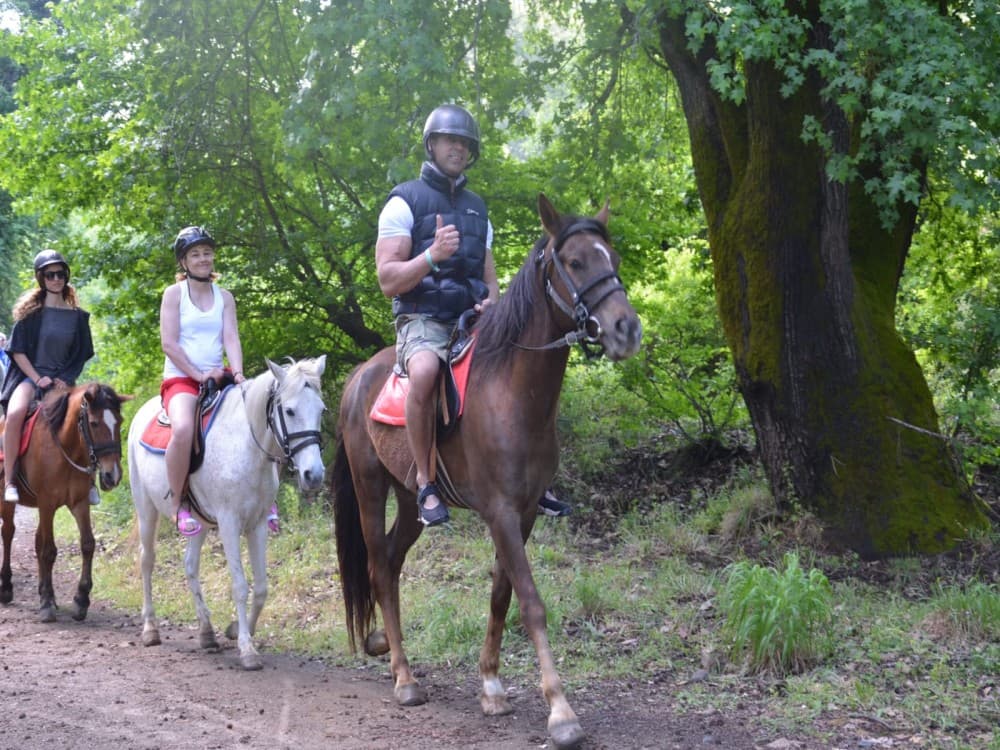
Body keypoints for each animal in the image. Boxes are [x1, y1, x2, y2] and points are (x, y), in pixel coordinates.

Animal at [1, 382, 132, 622]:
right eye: (94, 423)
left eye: (119, 421)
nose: (113, 475)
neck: (65, 448)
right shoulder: (47, 504)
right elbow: (48, 550)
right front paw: (46, 603)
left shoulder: (79, 503)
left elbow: (87, 544)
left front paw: (80, 600)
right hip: (8, 502)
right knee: (8, 533)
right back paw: (6, 587)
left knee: (35, 540)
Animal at [127, 356, 327, 670]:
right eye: (290, 410)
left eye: (321, 410)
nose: (314, 475)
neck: (247, 447)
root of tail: (140, 414)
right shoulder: (229, 523)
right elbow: (240, 586)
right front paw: (247, 649)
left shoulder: (257, 524)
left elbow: (261, 587)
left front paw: (237, 630)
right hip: (146, 508)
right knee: (147, 560)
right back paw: (150, 628)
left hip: (199, 521)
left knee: (190, 564)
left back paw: (207, 633)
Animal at [331, 194, 642, 749]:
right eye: (575, 261)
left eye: (615, 259)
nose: (626, 329)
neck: (514, 391)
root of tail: (358, 376)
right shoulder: (499, 512)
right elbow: (531, 602)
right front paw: (560, 711)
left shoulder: (524, 512)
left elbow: (501, 596)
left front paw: (492, 687)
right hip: (369, 489)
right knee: (378, 568)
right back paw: (405, 678)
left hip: (410, 499)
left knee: (390, 560)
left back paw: (385, 647)